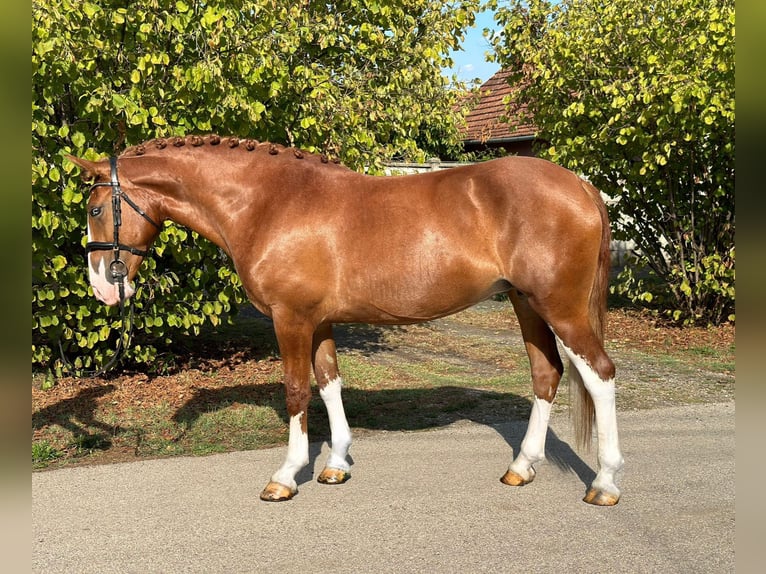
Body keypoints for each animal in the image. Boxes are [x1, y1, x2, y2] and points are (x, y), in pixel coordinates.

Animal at [67, 134, 624, 504]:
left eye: (94, 209)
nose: (102, 287)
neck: (270, 202)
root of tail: (580, 184)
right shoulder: (319, 322)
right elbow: (329, 382)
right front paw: (335, 465)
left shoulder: (291, 319)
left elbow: (296, 390)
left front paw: (286, 476)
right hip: (525, 303)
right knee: (547, 374)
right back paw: (521, 468)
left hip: (560, 307)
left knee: (599, 375)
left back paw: (604, 483)